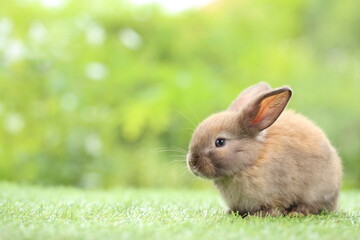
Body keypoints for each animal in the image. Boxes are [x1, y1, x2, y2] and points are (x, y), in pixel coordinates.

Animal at [187, 83, 342, 218]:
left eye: (220, 142)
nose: (192, 163)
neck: (253, 159)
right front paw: (231, 212)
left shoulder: (277, 194)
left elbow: (274, 207)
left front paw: (259, 215)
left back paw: (297, 212)